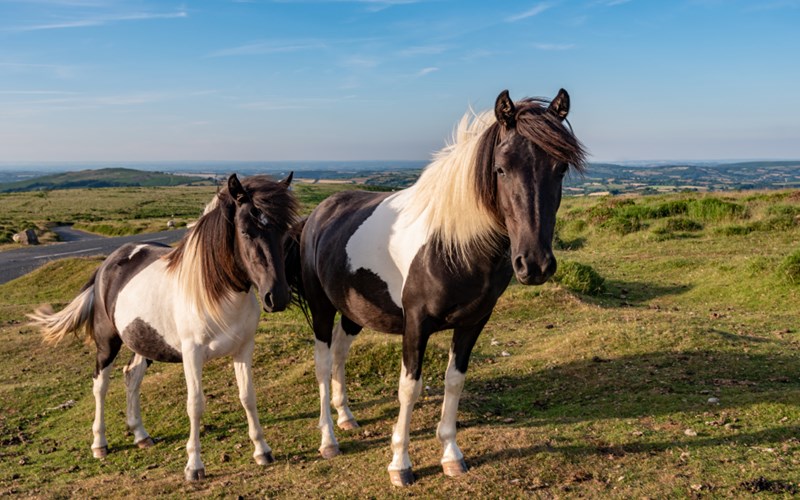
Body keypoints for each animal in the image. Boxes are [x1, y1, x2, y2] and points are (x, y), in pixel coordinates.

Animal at [29, 173, 300, 480]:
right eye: (246, 231)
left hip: (144, 342)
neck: (215, 292)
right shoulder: (192, 354)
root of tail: (108, 264)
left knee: (131, 375)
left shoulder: (243, 349)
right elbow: (195, 405)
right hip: (107, 343)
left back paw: (141, 435)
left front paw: (262, 450)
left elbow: (248, 397)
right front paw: (194, 466)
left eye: (284, 230)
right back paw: (99, 444)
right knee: (100, 385)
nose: (277, 297)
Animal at [288, 89, 588, 484]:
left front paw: (451, 454)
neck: (452, 244)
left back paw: (346, 417)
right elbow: (409, 388)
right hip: (321, 308)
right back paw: (328, 439)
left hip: (354, 310)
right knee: (323, 363)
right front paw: (400, 463)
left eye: (560, 168)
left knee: (339, 351)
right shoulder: (416, 324)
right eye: (501, 168)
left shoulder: (474, 323)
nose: (535, 264)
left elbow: (454, 381)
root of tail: (318, 214)